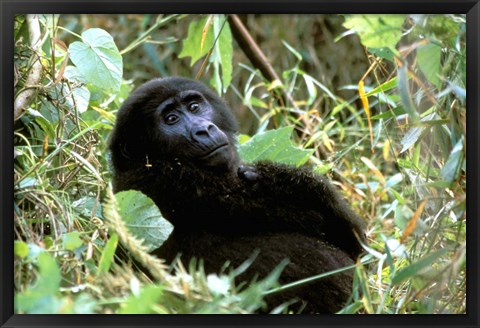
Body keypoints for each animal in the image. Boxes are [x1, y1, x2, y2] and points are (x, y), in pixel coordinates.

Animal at [108, 76, 364, 312]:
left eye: (194, 107)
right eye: (171, 119)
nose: (204, 130)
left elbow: (355, 243)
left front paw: (283, 177)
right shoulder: (163, 179)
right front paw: (284, 179)